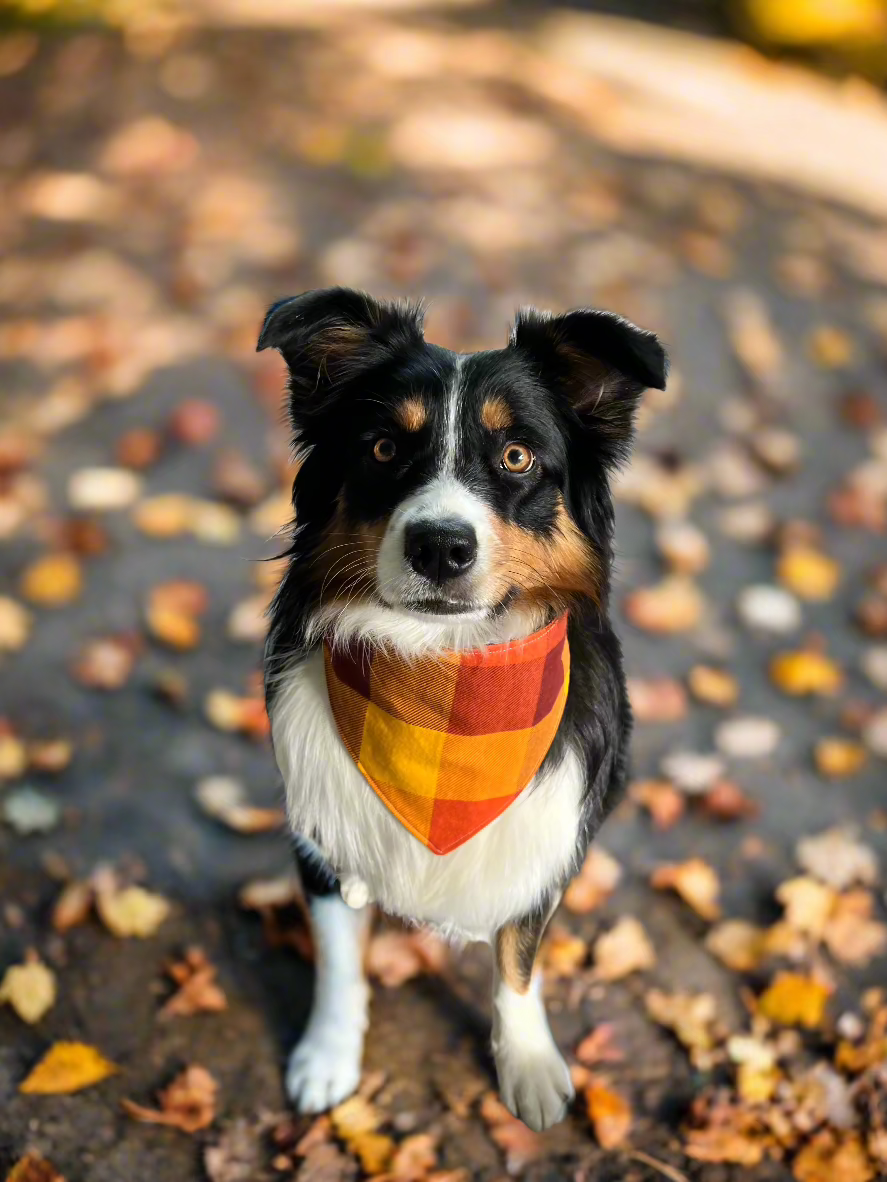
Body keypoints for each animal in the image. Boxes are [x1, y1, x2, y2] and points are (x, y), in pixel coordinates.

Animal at [260, 283, 671, 1125]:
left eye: (515, 457)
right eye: (384, 449)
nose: (440, 546)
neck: (442, 678)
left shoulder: (543, 841)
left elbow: (519, 957)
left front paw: (527, 1061)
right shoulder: (323, 835)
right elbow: (339, 959)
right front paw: (327, 1055)